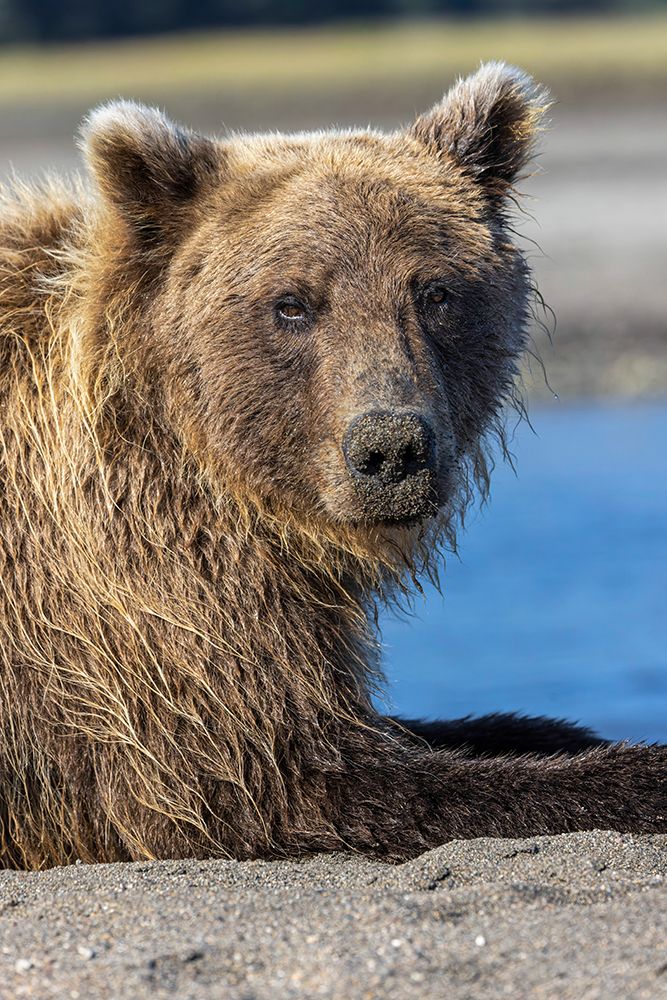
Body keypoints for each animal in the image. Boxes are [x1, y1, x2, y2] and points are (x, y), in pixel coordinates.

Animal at [0, 62, 663, 870]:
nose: (391, 448)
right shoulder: (131, 609)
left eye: (435, 292)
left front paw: (555, 727)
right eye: (292, 303)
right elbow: (288, 780)